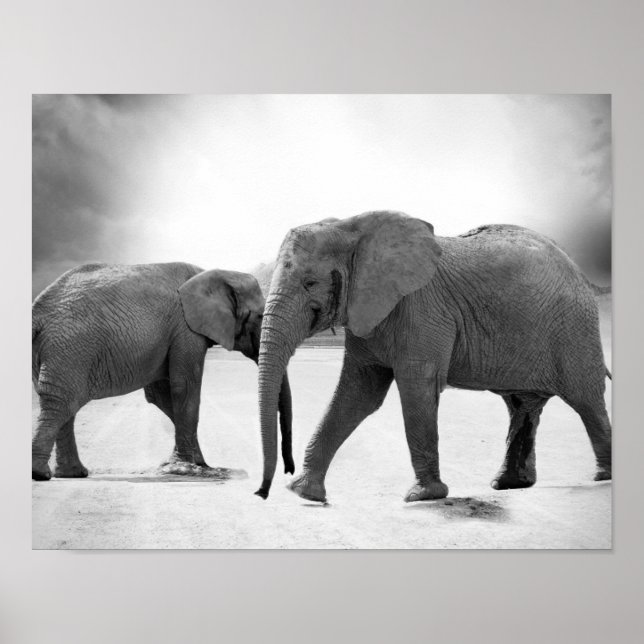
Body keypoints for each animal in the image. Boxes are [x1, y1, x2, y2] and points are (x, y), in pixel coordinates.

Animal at [32, 262, 294, 481]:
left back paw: (73, 474)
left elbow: (161, 395)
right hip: (70, 350)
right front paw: (187, 468)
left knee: (64, 405)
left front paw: (199, 464)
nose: (289, 472)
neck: (213, 273)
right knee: (62, 403)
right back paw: (41, 474)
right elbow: (184, 388)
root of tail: (36, 312)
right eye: (260, 316)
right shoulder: (185, 329)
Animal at [255, 210, 612, 502]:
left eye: (310, 283)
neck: (351, 227)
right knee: (522, 406)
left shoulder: (422, 310)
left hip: (575, 330)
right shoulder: (368, 313)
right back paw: (509, 484)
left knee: (586, 399)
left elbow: (417, 388)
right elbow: (358, 395)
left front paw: (423, 496)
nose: (262, 492)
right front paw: (304, 492)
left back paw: (603, 476)